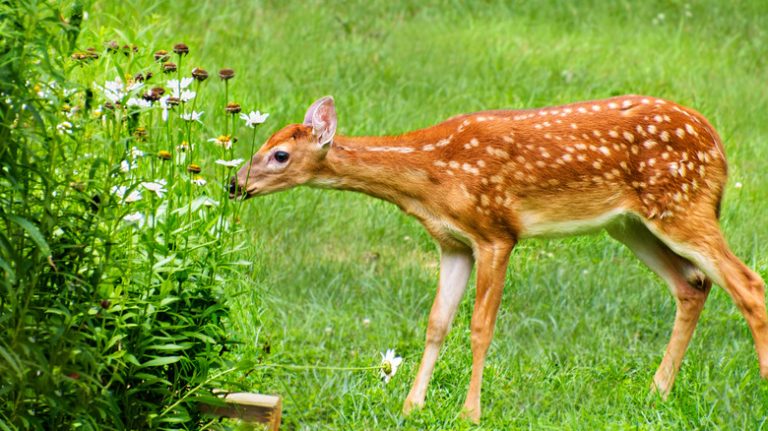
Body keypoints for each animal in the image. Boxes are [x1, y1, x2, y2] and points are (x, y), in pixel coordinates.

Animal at [230, 94, 768, 422]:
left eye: (279, 155)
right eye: (264, 143)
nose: (235, 185)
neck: (430, 177)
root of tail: (718, 144)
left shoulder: (496, 233)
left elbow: (480, 327)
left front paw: (469, 413)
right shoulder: (451, 243)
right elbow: (437, 323)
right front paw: (411, 405)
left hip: (682, 204)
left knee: (747, 284)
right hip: (631, 223)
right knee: (692, 285)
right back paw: (656, 392)